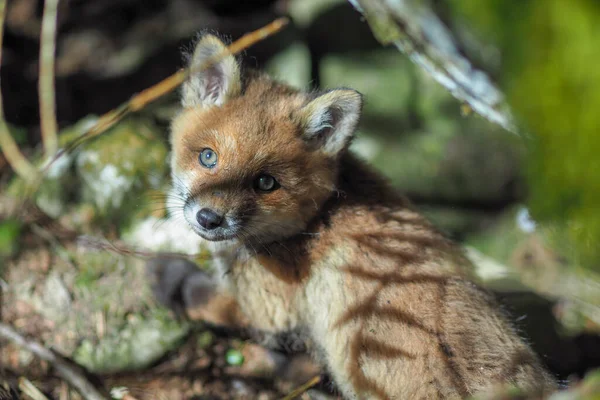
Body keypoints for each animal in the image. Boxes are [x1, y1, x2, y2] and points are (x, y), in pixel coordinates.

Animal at [156, 35, 556, 400]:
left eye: (265, 183)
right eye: (208, 157)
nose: (209, 218)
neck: (314, 223)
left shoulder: (269, 312)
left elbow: (202, 297)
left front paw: (166, 278)